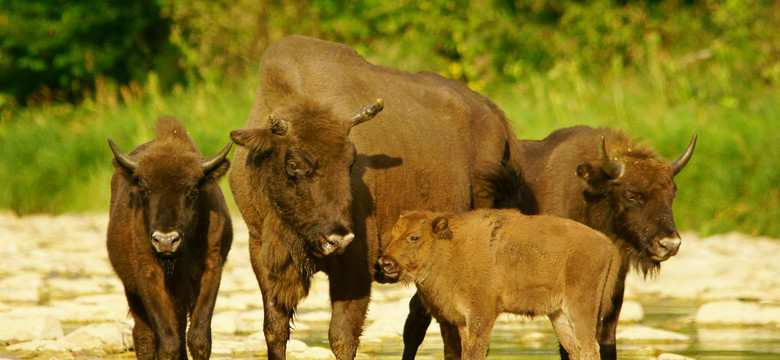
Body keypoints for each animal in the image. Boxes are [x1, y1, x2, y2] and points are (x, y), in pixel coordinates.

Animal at [108, 116, 233, 360]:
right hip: (132, 292)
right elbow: (168, 343)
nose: (165, 240)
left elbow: (199, 339)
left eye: (192, 191)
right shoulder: (148, 275)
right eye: (144, 191)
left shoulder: (211, 269)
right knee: (144, 336)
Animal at [229, 35, 520, 358]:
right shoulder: (262, 256)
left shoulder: (356, 262)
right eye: (293, 164)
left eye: (350, 162)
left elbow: (343, 335)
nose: (337, 239)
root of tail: (495, 114)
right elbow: (275, 330)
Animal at [378, 208, 620, 360]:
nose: (385, 262)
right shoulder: (463, 322)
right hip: (559, 314)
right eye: (392, 234)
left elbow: (475, 353)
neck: (452, 247)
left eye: (414, 237)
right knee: (576, 350)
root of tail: (607, 244)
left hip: (581, 307)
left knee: (589, 348)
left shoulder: (481, 314)